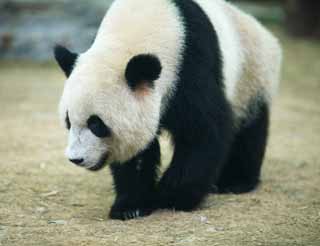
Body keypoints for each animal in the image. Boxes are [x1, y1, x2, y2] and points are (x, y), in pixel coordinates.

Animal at [53, 0, 282, 220]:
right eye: (68, 122)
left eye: (96, 124)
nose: (76, 159)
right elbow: (137, 152)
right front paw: (131, 206)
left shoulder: (190, 65)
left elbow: (203, 132)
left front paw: (169, 196)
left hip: (251, 74)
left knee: (249, 127)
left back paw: (236, 181)